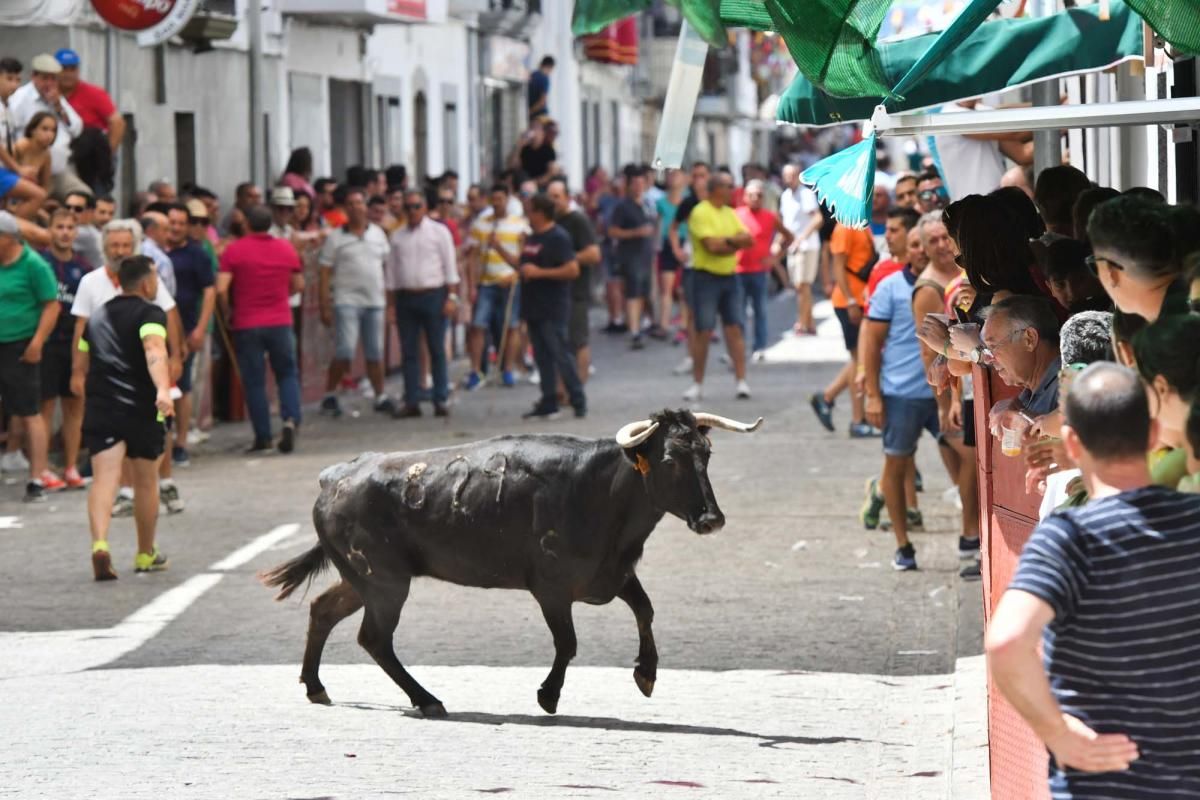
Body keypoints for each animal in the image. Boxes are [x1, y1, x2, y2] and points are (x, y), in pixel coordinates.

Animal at [261, 410, 758, 714]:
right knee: (374, 639)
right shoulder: (552, 589)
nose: (711, 519)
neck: (599, 490)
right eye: (670, 458)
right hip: (385, 583)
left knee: (323, 610)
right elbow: (568, 643)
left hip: (366, 579)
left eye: (706, 454)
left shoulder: (612, 575)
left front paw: (646, 673)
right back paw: (427, 700)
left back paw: (316, 686)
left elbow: (645, 610)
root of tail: (337, 476)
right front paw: (548, 695)